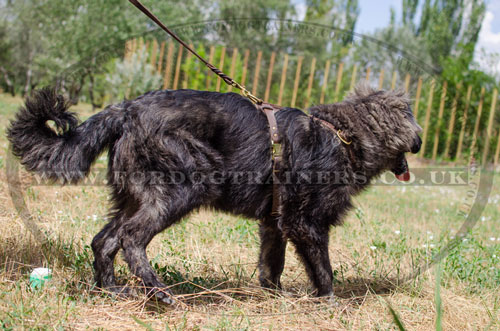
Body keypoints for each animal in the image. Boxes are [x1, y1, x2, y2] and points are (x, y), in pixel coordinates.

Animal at [7, 85, 422, 304]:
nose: (420, 142)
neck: (344, 136)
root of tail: (127, 110)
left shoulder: (274, 224)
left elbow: (271, 267)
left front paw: (274, 299)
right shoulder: (306, 224)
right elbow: (324, 269)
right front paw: (330, 303)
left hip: (134, 196)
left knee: (104, 240)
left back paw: (113, 290)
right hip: (181, 188)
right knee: (131, 239)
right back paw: (159, 292)